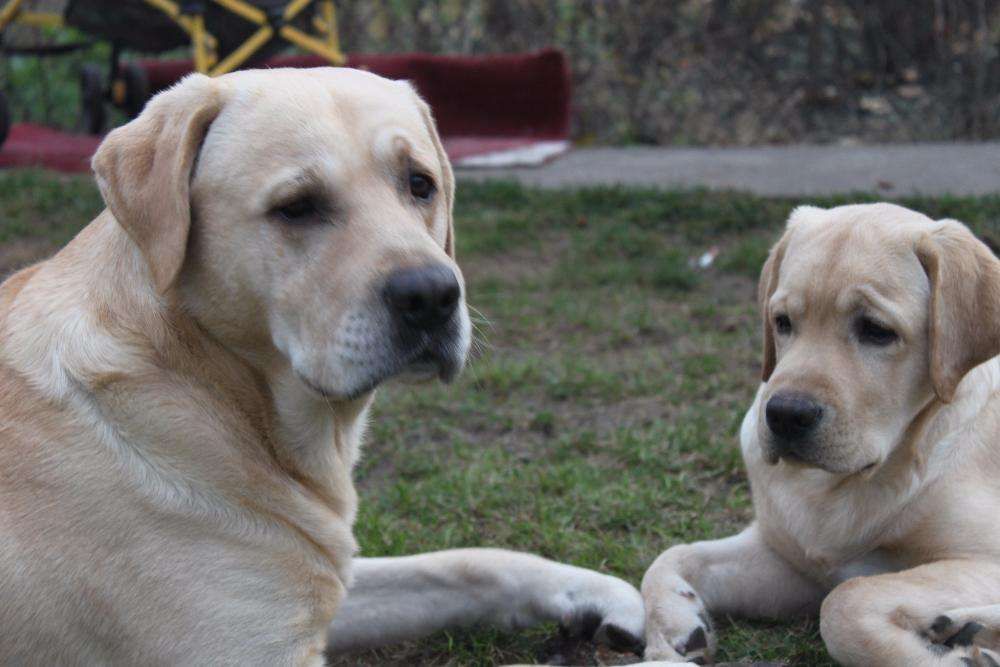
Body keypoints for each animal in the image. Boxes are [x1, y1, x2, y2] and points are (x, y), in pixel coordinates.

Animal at [0, 70, 640, 664]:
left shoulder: (326, 579)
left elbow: (461, 563)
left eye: (420, 184)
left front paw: (597, 592)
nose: (433, 295)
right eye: (297, 206)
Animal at [640, 205, 1000, 667]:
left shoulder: (984, 558)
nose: (786, 415)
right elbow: (675, 555)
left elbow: (846, 600)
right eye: (782, 322)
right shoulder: (789, 563)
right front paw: (674, 628)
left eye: (876, 330)